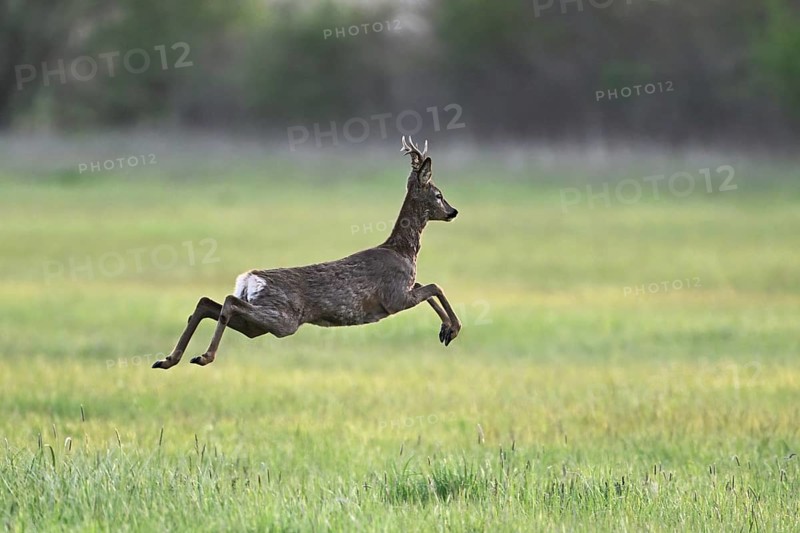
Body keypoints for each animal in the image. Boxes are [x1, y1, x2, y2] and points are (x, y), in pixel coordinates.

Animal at [152, 137, 461, 370]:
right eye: (438, 194)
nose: (453, 211)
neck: (403, 251)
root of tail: (249, 279)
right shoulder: (394, 297)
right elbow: (435, 286)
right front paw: (453, 329)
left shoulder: (403, 292)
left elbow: (427, 286)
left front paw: (445, 330)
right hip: (284, 318)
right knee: (227, 301)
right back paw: (203, 356)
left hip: (260, 325)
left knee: (208, 302)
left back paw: (169, 359)